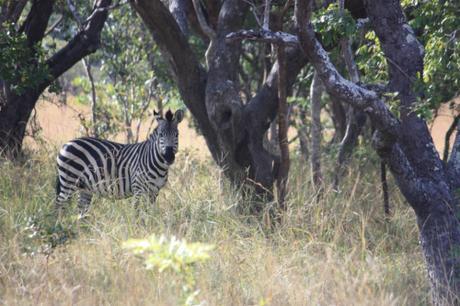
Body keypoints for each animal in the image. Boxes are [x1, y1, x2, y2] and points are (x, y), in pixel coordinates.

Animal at [54, 109, 183, 216]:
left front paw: (149, 226)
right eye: (161, 135)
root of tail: (67, 143)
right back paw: (59, 227)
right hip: (69, 181)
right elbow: (137, 213)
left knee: (81, 211)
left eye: (177, 135)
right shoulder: (138, 189)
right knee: (60, 205)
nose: (169, 157)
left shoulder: (154, 192)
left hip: (84, 187)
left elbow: (149, 214)